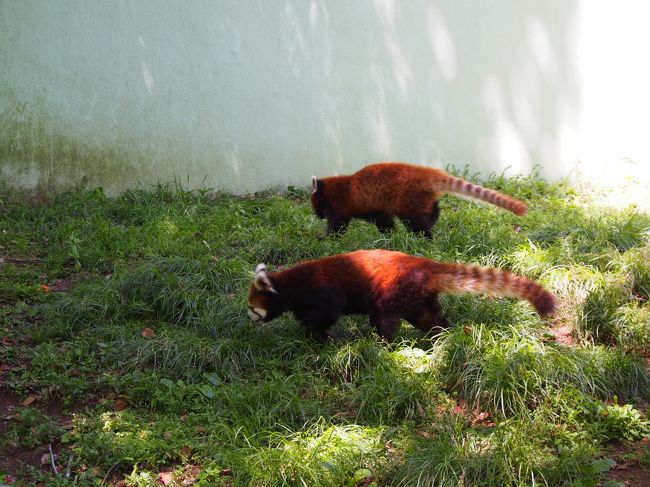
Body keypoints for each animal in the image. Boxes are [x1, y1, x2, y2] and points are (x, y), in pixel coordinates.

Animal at [246, 250, 556, 342]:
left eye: (251, 307)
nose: (249, 319)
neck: (289, 284)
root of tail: (424, 264)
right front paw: (309, 333)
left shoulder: (322, 292)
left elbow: (326, 314)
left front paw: (323, 336)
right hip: (417, 297)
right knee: (429, 317)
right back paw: (441, 335)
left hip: (394, 291)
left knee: (382, 317)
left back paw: (385, 342)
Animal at [308, 164, 528, 238]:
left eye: (315, 207)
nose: (318, 217)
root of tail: (425, 173)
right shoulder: (375, 207)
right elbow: (384, 221)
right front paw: (389, 236)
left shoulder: (341, 205)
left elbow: (337, 225)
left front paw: (325, 238)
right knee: (426, 213)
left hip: (408, 200)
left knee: (416, 223)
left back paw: (427, 237)